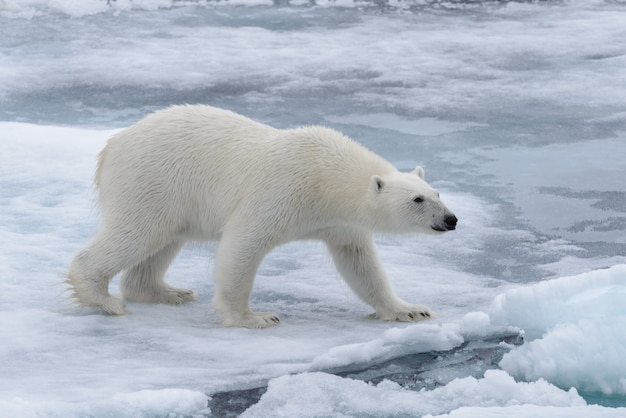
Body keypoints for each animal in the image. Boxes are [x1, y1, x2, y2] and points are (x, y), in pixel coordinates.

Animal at [67, 104, 454, 326]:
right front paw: (255, 317)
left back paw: (170, 292)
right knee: (137, 233)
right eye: (418, 199)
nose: (451, 220)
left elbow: (360, 263)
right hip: (153, 180)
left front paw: (409, 310)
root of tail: (111, 146)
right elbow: (243, 245)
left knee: (163, 242)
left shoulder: (339, 222)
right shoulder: (282, 191)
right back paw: (104, 299)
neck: (326, 176)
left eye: (437, 193)